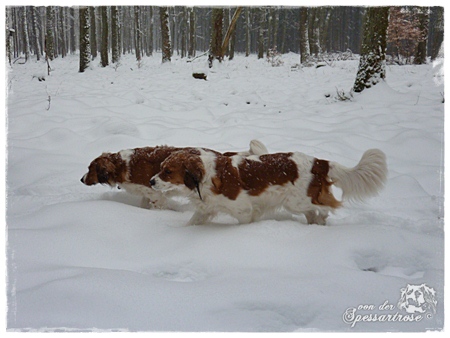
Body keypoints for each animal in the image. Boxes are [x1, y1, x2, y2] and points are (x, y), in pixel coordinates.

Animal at [80, 139, 268, 209]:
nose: (81, 179)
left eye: (90, 169)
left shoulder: (155, 193)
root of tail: (218, 154)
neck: (123, 165)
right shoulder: (147, 192)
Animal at [150, 148, 386, 224]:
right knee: (314, 213)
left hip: (296, 202)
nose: (151, 181)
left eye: (168, 171)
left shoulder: (244, 211)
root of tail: (319, 162)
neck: (209, 176)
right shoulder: (204, 210)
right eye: (160, 168)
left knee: (325, 207)